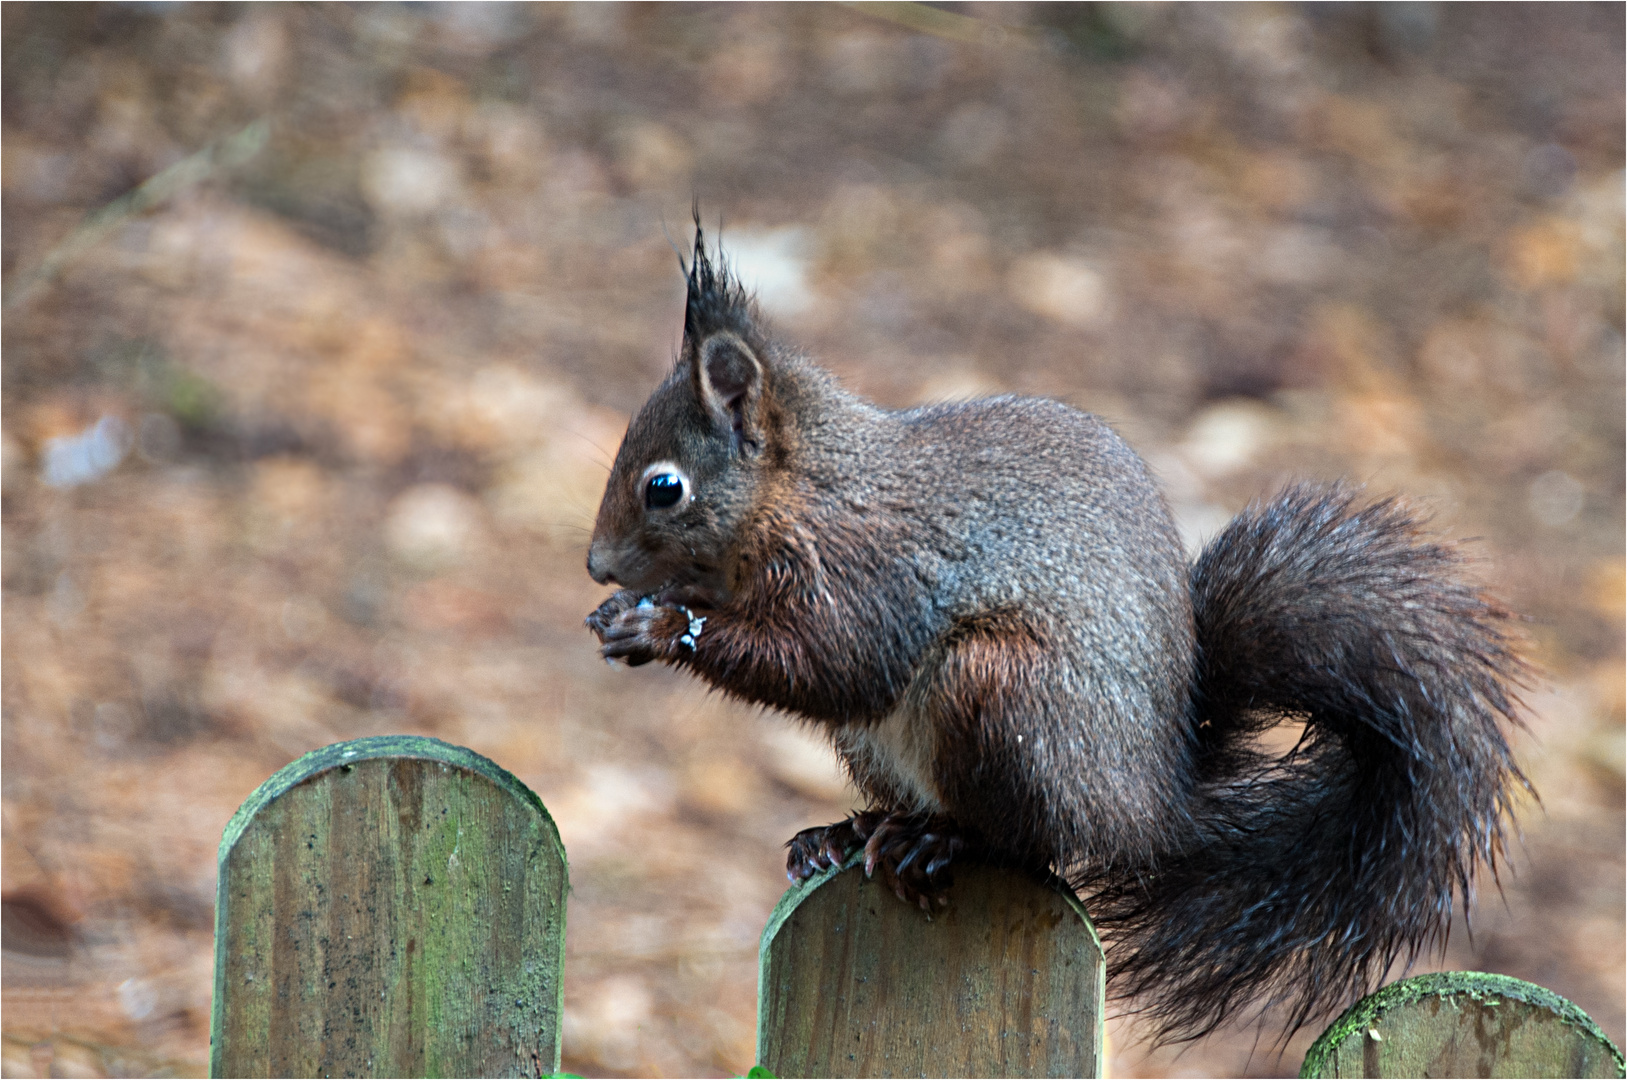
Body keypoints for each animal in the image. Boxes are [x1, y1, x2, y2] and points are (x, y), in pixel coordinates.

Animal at [585, 222, 1522, 1040]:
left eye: (663, 487)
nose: (596, 567)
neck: (801, 492)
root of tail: (1152, 804)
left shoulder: (867, 573)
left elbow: (836, 665)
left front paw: (662, 626)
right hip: (883, 742)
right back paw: (848, 832)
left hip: (998, 689)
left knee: (1031, 842)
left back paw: (938, 840)